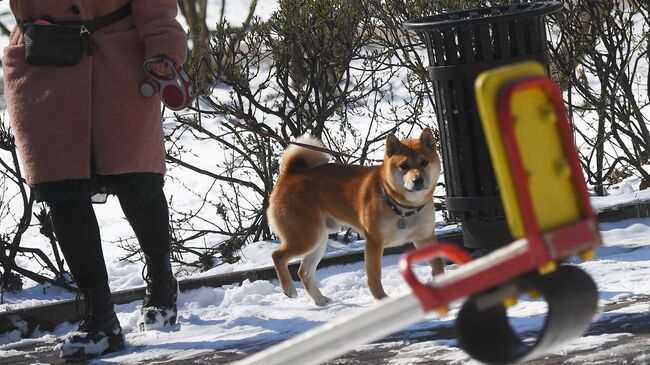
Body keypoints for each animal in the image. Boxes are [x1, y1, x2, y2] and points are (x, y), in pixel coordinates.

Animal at [266, 128, 442, 304]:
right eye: (404, 165)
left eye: (425, 162)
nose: (418, 180)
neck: (404, 208)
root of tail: (290, 174)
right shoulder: (374, 243)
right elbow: (374, 277)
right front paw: (381, 299)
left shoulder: (424, 238)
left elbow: (438, 264)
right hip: (306, 238)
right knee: (277, 256)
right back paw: (289, 288)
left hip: (318, 240)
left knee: (304, 272)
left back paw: (321, 300)